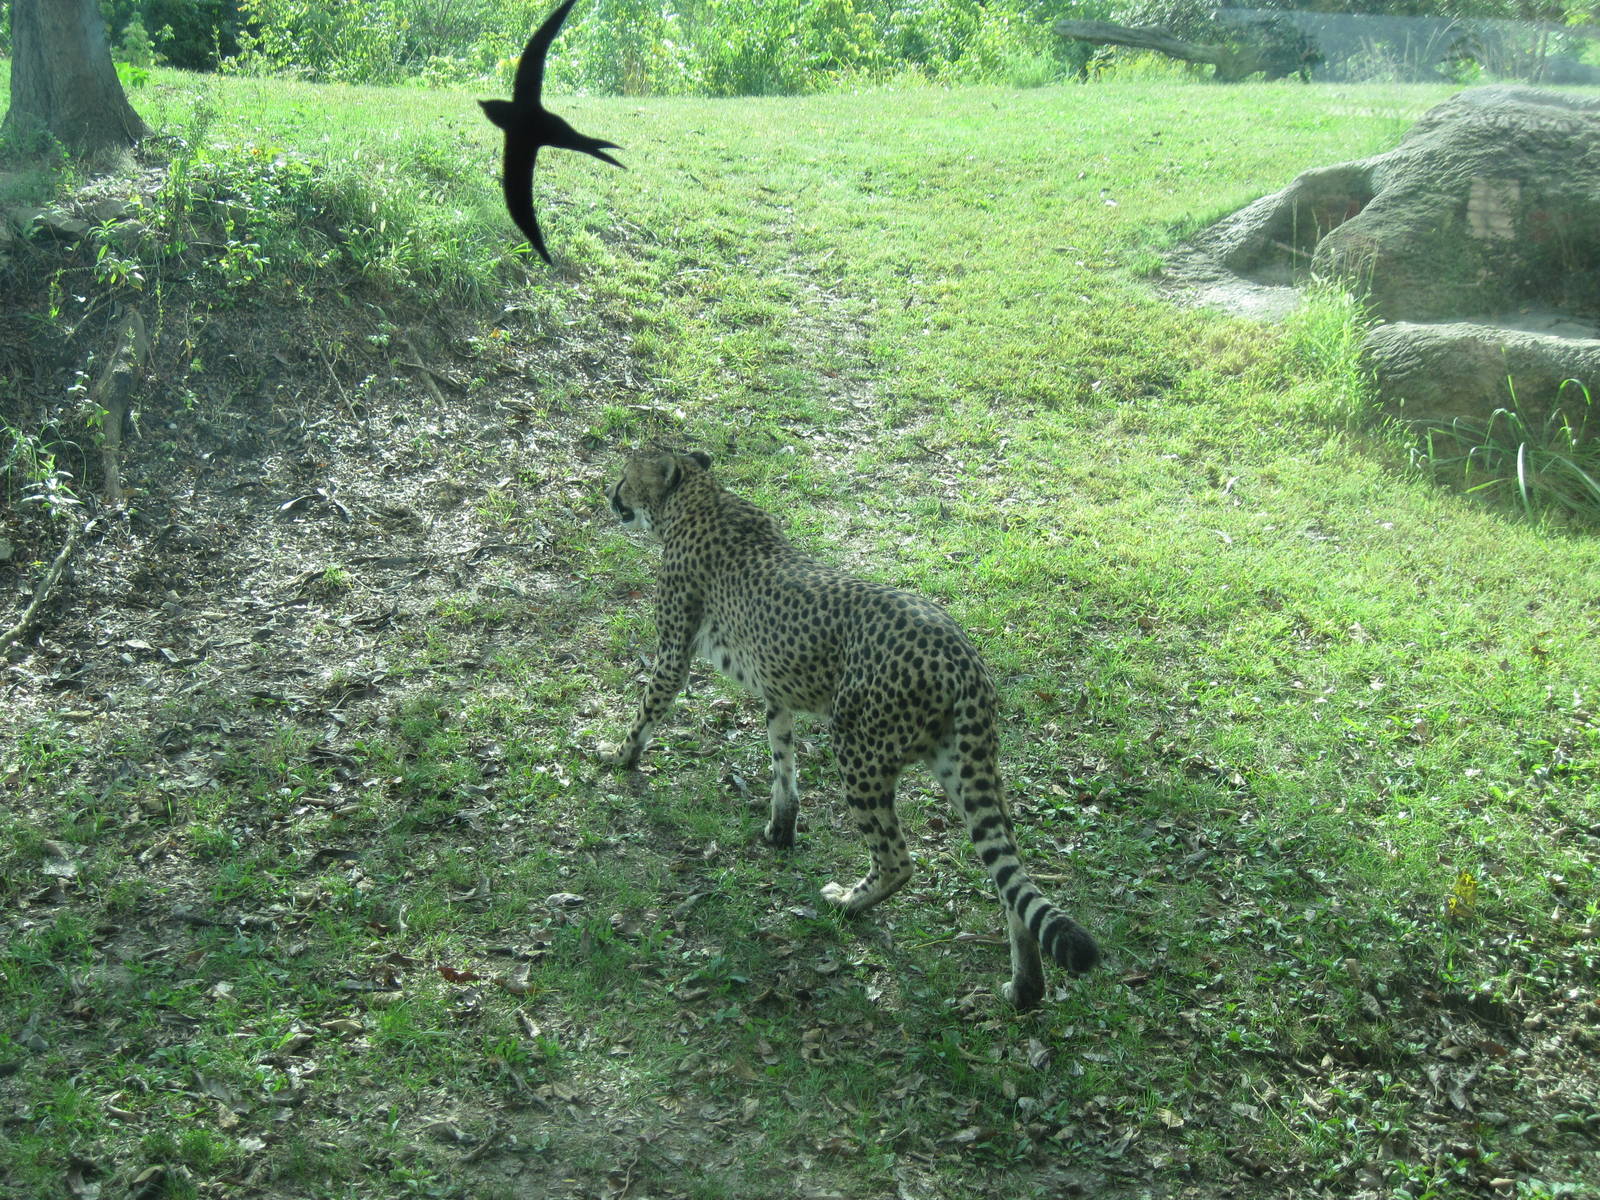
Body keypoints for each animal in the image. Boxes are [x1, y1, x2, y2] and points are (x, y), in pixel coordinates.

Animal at [601, 450, 1099, 1009]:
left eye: (627, 476)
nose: (610, 494)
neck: (699, 497)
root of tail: (961, 654)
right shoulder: (778, 692)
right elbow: (783, 763)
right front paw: (781, 828)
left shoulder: (672, 657)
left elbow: (646, 710)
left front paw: (616, 755)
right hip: (962, 763)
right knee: (1009, 873)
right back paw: (1025, 988)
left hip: (860, 749)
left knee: (898, 858)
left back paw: (848, 903)